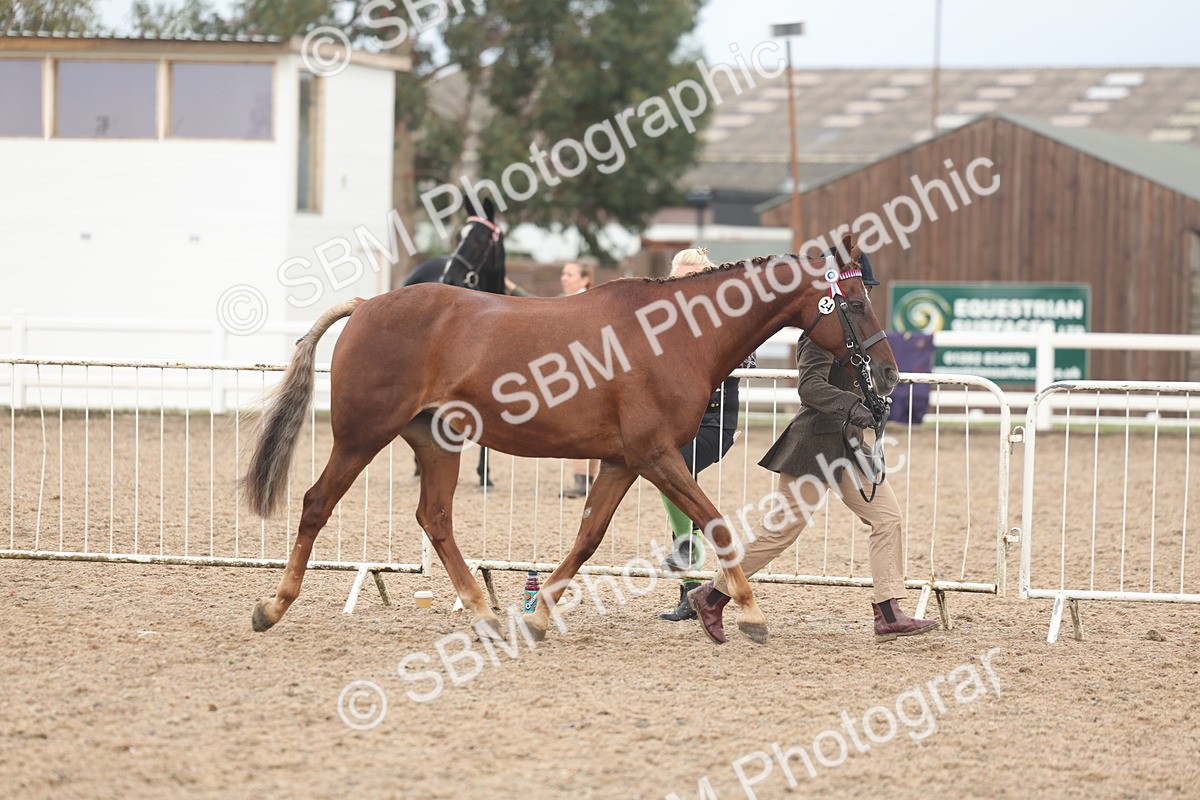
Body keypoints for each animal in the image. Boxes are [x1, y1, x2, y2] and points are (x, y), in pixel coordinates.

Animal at [241, 238, 898, 644]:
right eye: (855, 303)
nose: (889, 377)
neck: (676, 336)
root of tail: (366, 306)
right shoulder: (657, 456)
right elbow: (715, 524)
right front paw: (752, 614)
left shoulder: (622, 462)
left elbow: (588, 538)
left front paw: (537, 619)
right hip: (362, 435)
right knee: (317, 504)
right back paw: (272, 607)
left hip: (437, 442)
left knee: (436, 519)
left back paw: (485, 615)